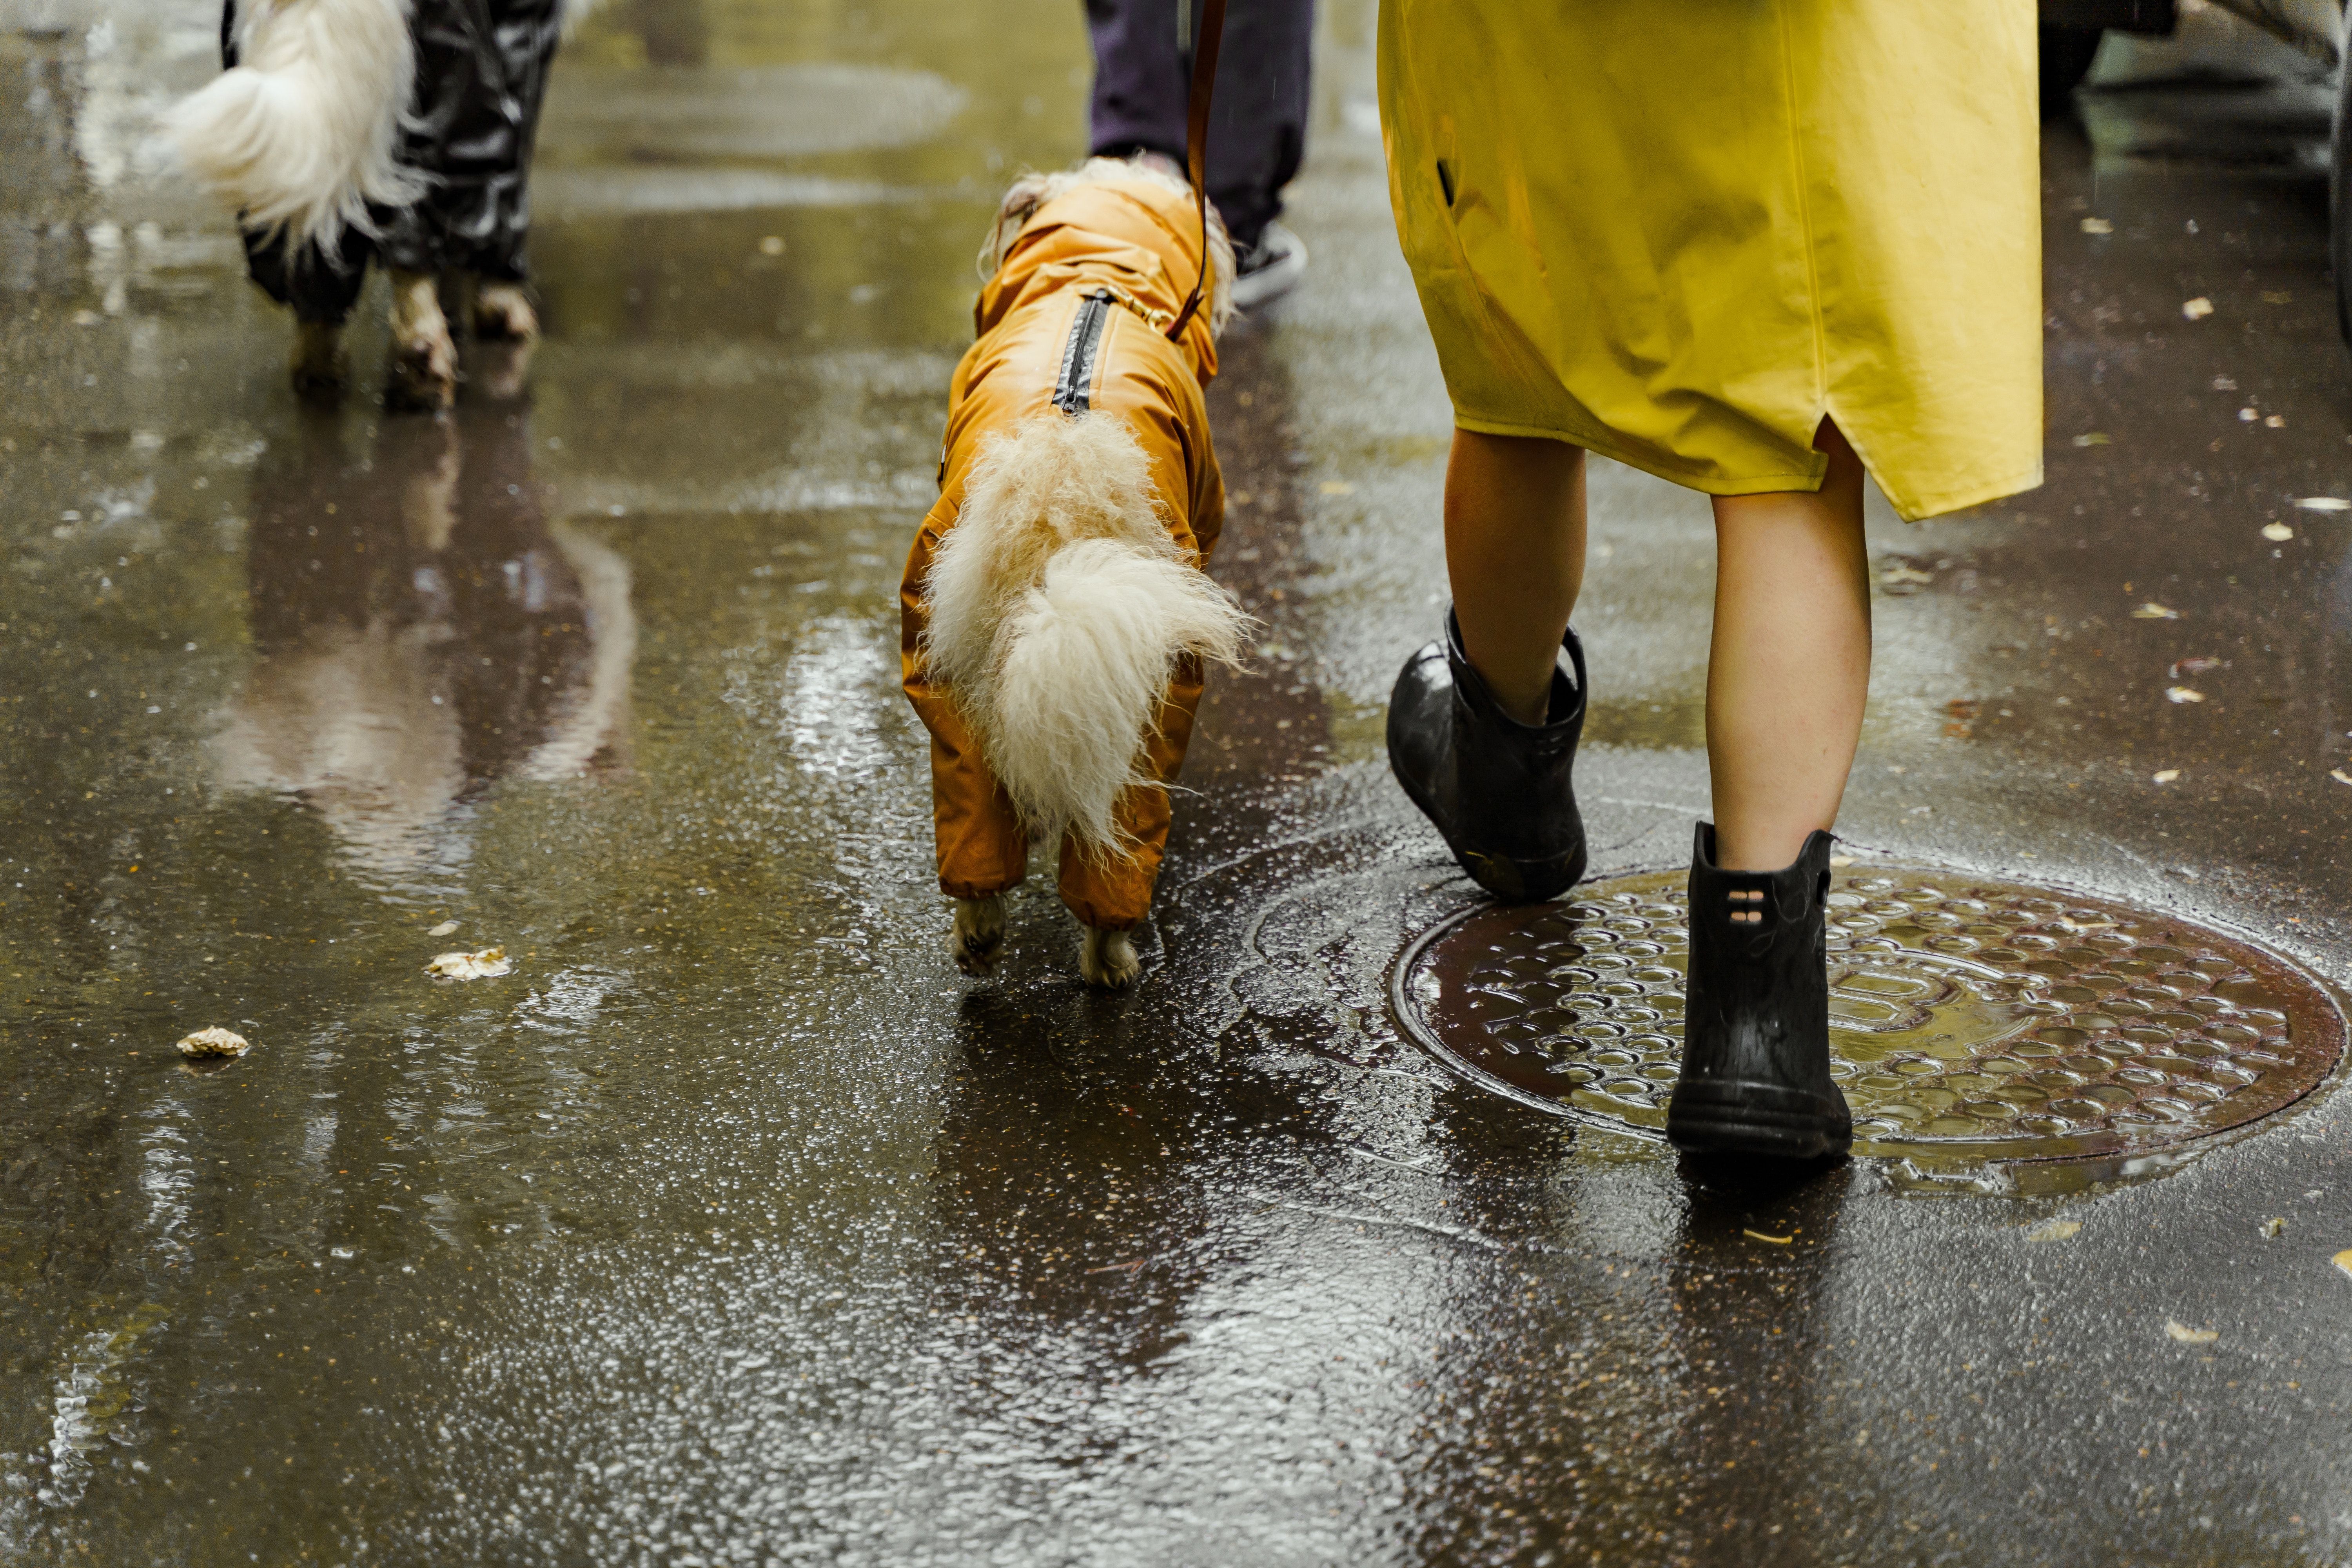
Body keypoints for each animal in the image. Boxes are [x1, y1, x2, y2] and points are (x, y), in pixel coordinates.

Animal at [898, 162, 1261, 992]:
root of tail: (1061, 478)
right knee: (1118, 843)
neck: (1097, 276)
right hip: (1162, 681)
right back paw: (1114, 959)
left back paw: (979, 935)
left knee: (976, 822)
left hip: (946, 657)